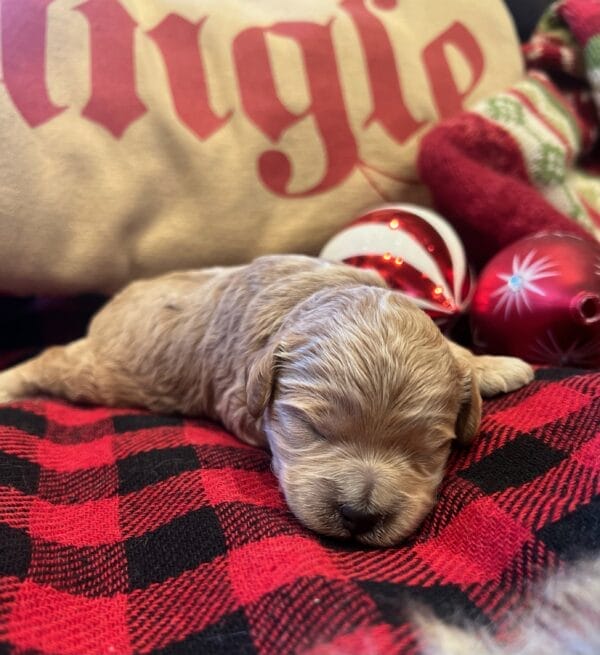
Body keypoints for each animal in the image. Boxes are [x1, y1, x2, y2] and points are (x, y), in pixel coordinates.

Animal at [0, 258, 536, 548]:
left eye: (426, 450)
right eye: (314, 430)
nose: (359, 516)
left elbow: (453, 352)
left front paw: (491, 364)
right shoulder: (238, 396)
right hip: (103, 373)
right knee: (52, 359)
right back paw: (9, 382)